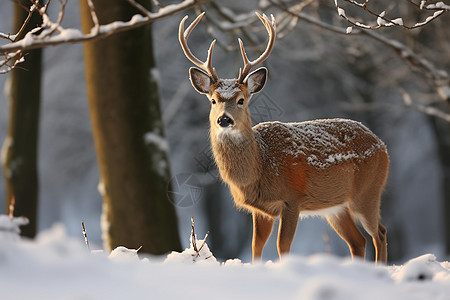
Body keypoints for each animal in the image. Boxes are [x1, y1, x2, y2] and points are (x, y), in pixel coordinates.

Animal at [179, 11, 390, 264]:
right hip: (335, 207)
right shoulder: (261, 209)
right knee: (358, 241)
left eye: (241, 100)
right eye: (213, 100)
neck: (261, 164)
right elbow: (256, 247)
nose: (224, 119)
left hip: (368, 191)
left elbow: (283, 246)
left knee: (380, 232)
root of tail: (382, 145)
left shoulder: (292, 199)